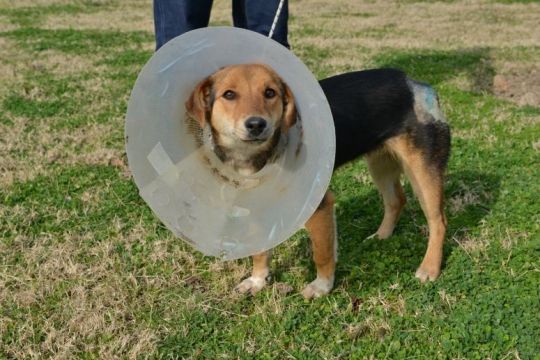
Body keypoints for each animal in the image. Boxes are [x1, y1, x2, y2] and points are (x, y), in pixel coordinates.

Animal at [186, 62, 452, 298]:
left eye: (270, 92)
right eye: (229, 95)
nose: (256, 124)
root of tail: (414, 83)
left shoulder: (320, 205)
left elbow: (322, 253)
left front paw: (322, 287)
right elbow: (260, 251)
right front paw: (258, 280)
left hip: (423, 172)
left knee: (438, 221)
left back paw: (429, 267)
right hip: (380, 164)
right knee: (396, 200)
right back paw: (381, 236)